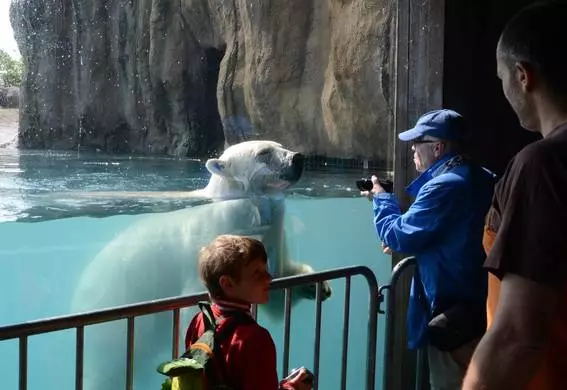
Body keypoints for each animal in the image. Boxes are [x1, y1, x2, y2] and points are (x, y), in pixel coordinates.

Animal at [71, 140, 332, 390]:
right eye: (264, 152)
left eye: (280, 145)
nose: (298, 158)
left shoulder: (272, 236)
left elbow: (277, 289)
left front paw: (317, 287)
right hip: (114, 299)